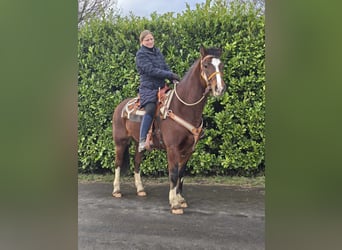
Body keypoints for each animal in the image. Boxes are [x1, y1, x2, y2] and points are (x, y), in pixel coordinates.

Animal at [111, 46, 226, 214]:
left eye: (221, 65)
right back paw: (117, 190)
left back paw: (140, 189)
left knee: (137, 163)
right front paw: (175, 204)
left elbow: (181, 174)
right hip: (120, 142)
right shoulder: (172, 149)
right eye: (206, 66)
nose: (220, 88)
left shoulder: (188, 150)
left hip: (140, 145)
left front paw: (180, 199)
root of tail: (120, 106)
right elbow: (173, 173)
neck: (182, 107)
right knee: (118, 164)